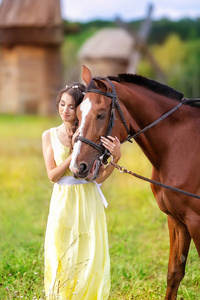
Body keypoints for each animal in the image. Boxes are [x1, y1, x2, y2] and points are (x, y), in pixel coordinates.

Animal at [70, 65, 200, 300]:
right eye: (77, 114)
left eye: (100, 115)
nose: (77, 167)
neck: (180, 145)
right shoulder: (177, 221)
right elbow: (174, 273)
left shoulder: (196, 221)